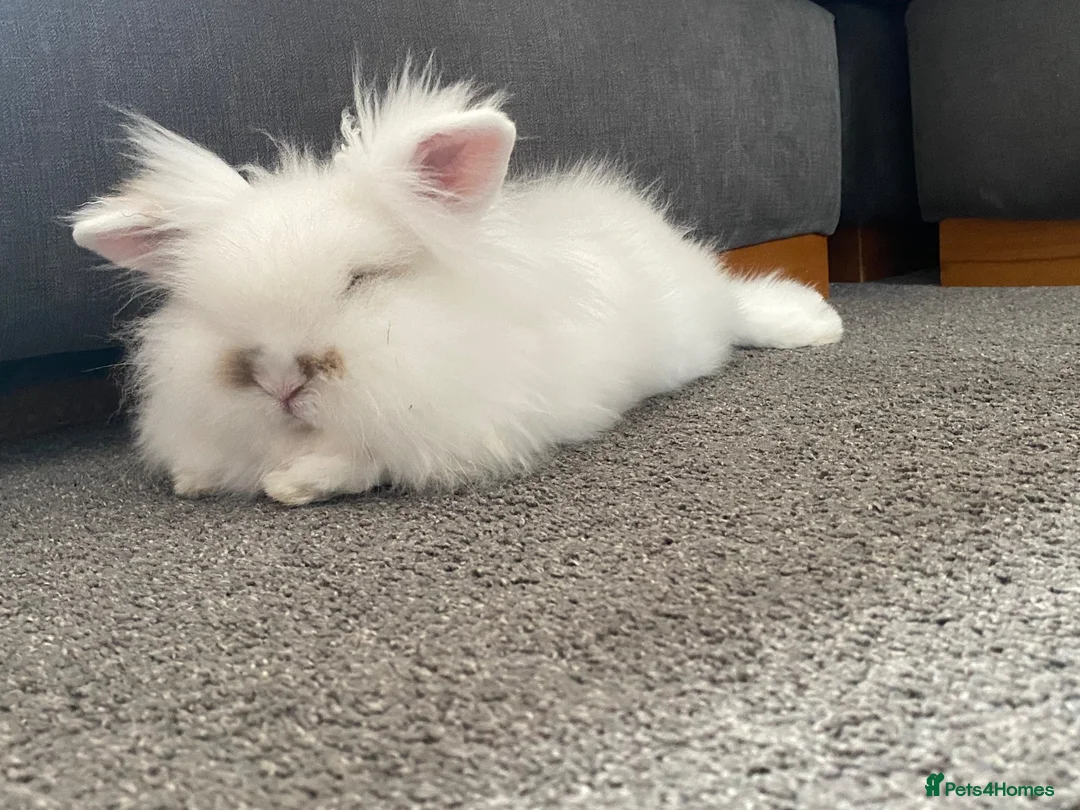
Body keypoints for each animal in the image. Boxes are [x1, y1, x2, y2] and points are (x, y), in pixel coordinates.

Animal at [69, 63, 843, 506]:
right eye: (211, 309)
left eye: (361, 280)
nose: (279, 382)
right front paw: (196, 477)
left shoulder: (461, 427)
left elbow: (363, 461)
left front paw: (291, 484)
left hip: (696, 330)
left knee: (740, 309)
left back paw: (816, 322)